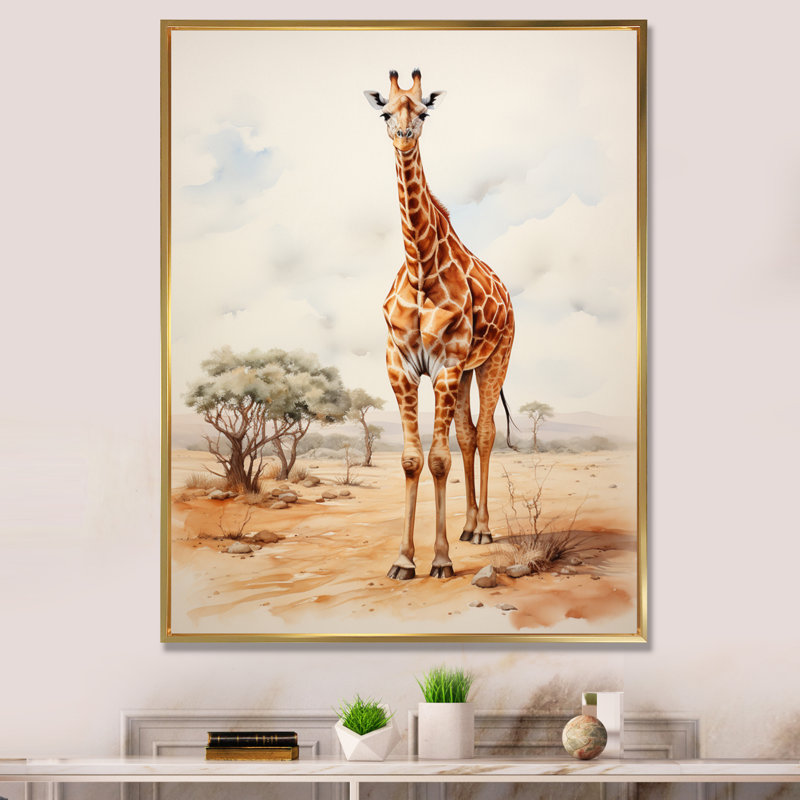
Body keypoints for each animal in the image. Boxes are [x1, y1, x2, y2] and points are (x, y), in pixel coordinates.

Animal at [364, 69, 515, 580]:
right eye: (385, 112)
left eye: (424, 112)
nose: (404, 136)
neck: (420, 267)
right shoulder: (402, 366)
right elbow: (414, 460)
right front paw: (404, 561)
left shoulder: (446, 364)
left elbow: (438, 459)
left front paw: (442, 560)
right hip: (468, 369)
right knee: (469, 435)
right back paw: (469, 528)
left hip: (495, 359)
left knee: (485, 434)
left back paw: (483, 530)